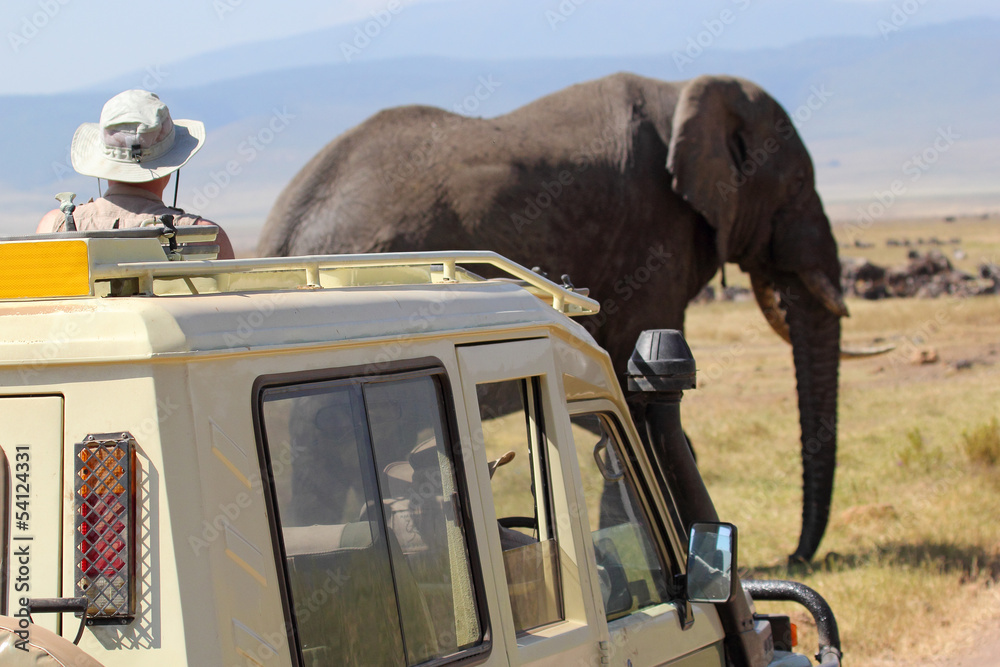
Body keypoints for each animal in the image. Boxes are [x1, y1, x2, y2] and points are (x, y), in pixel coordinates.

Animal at [260, 73, 852, 564]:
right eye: (798, 184)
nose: (799, 558)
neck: (681, 92)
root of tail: (282, 228)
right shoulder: (654, 238)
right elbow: (633, 393)